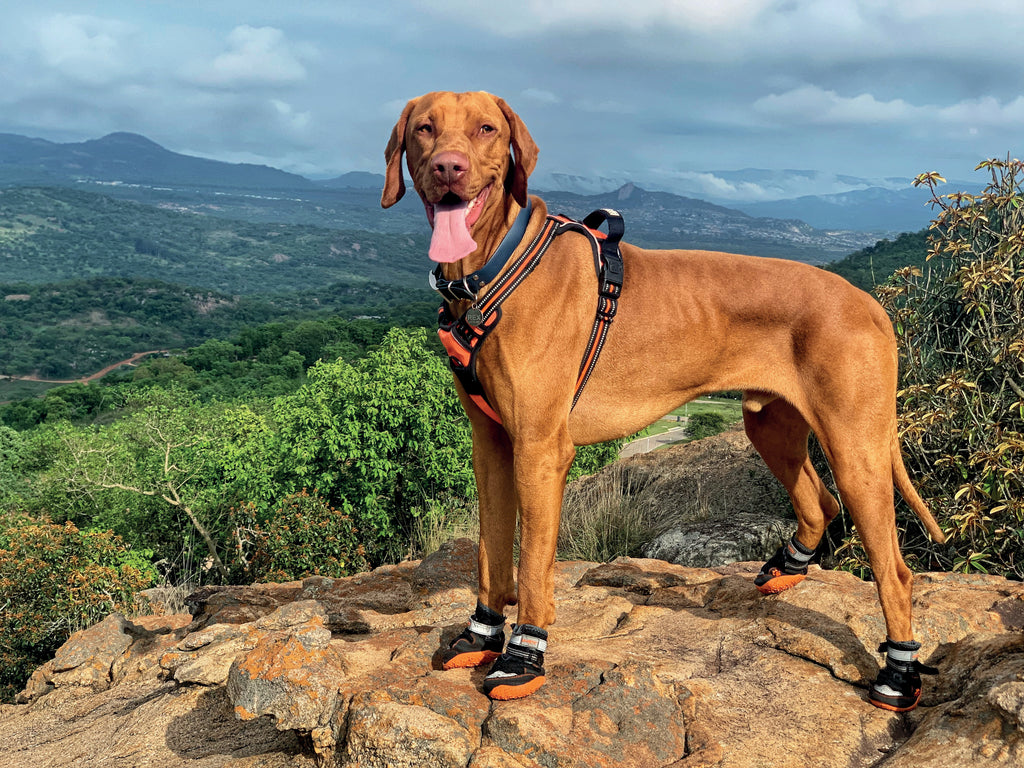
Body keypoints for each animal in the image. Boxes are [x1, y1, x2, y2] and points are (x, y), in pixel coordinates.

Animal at [382, 88, 942, 708]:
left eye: (485, 129)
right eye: (425, 128)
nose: (448, 168)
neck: (493, 269)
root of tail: (870, 302)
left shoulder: (539, 450)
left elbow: (531, 568)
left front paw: (523, 654)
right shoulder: (492, 445)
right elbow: (490, 553)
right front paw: (481, 634)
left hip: (855, 447)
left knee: (894, 569)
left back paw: (899, 671)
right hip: (771, 425)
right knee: (820, 501)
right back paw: (789, 568)